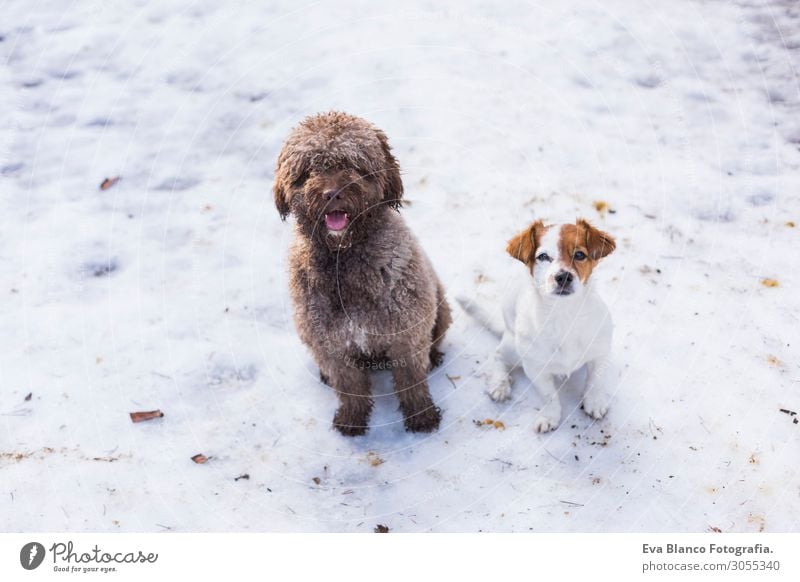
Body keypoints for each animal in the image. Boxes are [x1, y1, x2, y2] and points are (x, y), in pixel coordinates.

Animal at [456, 219, 620, 434]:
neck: (563, 315)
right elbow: (549, 396)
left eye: (579, 255)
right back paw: (500, 384)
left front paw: (594, 402)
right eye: (543, 257)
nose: (563, 277)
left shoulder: (599, 354)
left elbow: (595, 381)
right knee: (498, 355)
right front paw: (550, 417)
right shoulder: (535, 368)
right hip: (513, 347)